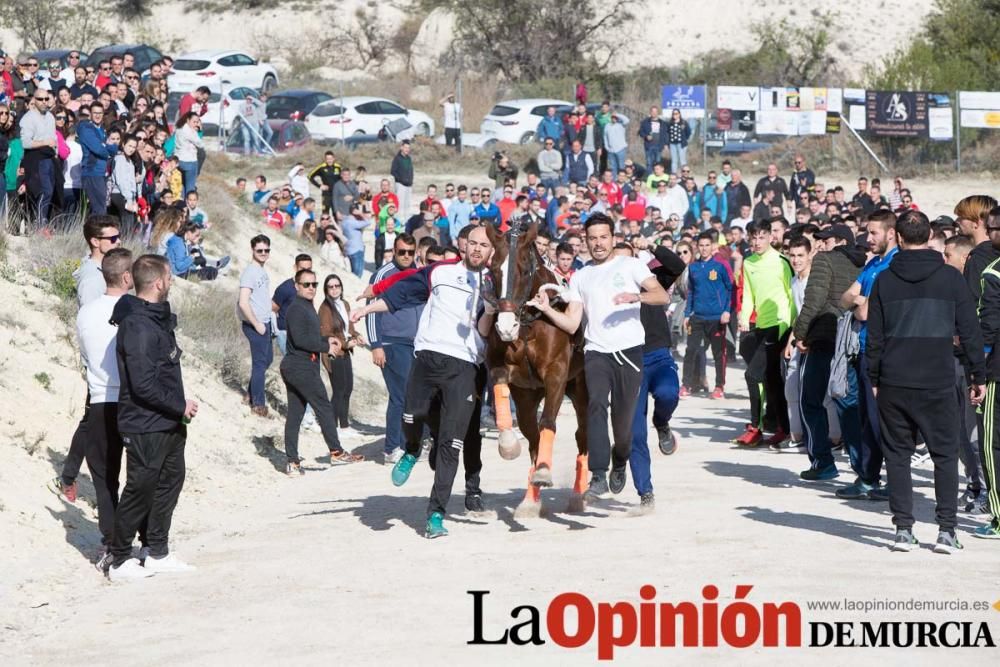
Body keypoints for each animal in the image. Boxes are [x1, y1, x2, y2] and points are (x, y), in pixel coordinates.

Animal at [482, 219, 588, 516]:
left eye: (524, 269)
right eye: (493, 269)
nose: (506, 326)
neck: (530, 322)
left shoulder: (556, 373)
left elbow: (548, 422)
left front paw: (542, 470)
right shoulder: (509, 374)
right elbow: (502, 392)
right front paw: (508, 445)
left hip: (580, 389)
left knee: (582, 435)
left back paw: (578, 494)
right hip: (530, 396)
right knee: (532, 436)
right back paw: (531, 499)